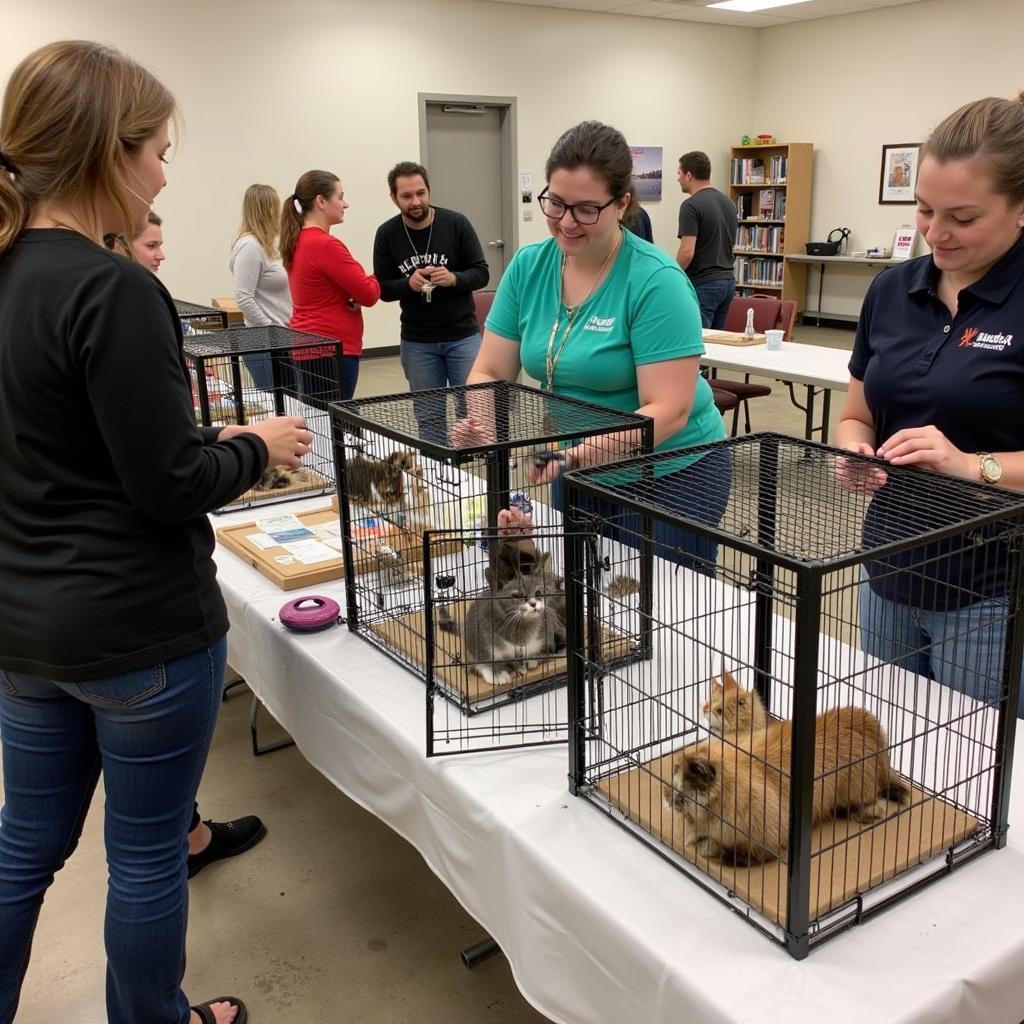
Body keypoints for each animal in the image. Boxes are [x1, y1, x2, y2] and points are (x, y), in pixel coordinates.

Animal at [667, 704, 909, 864]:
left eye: (690, 780)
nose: (668, 798)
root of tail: (866, 723)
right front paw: (697, 842)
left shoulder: (765, 842)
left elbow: (739, 853)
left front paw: (709, 848)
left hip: (857, 788)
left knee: (873, 801)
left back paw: (867, 815)